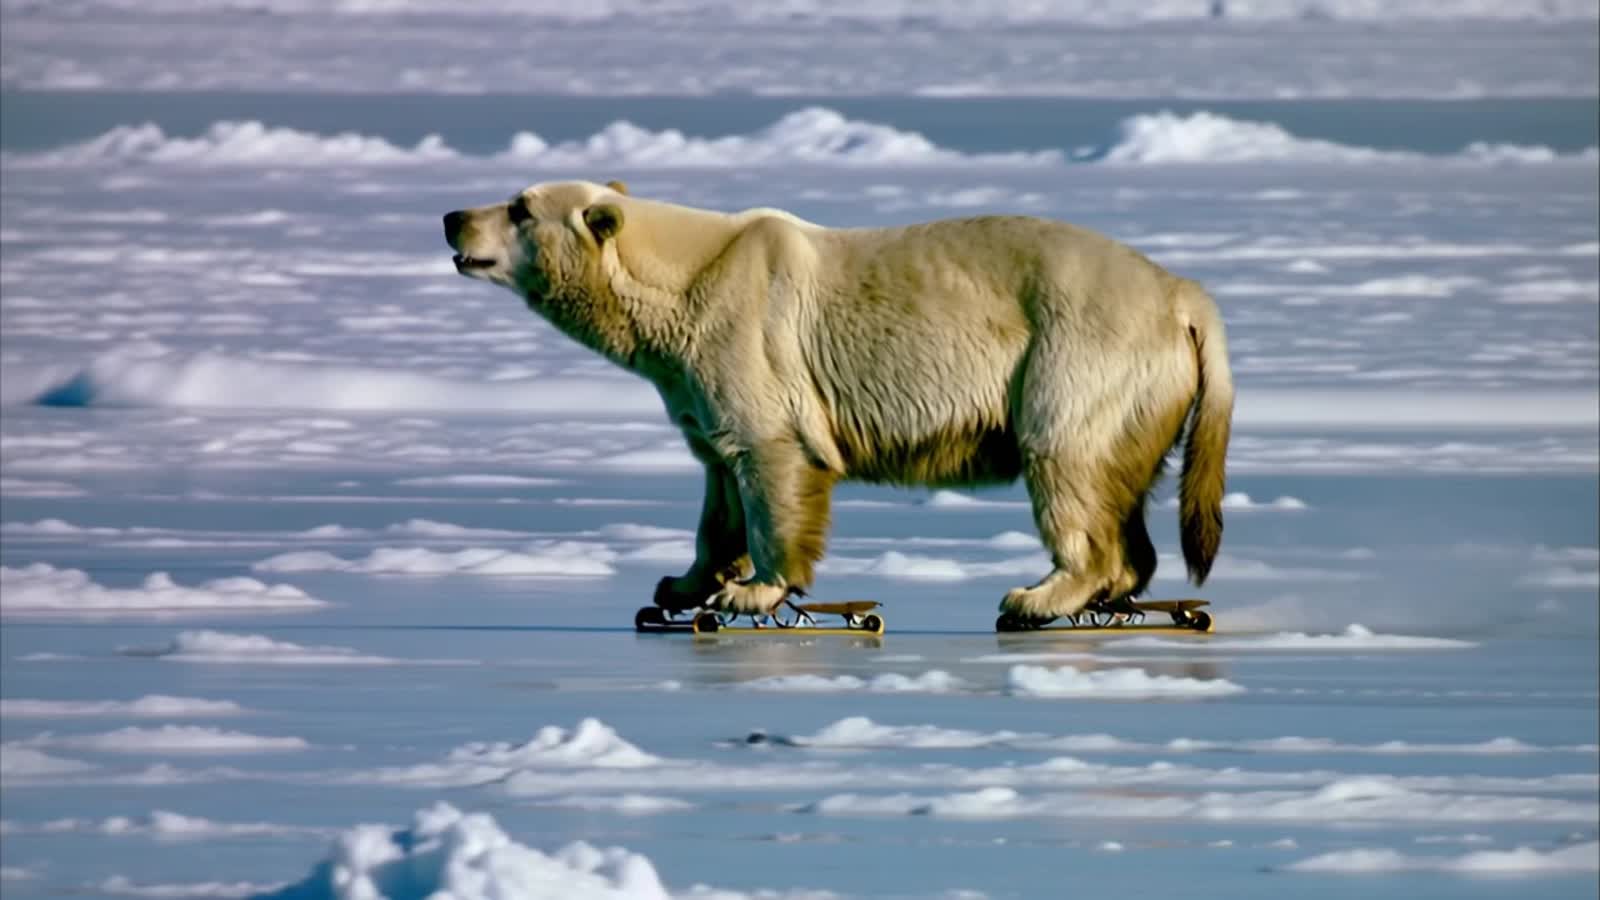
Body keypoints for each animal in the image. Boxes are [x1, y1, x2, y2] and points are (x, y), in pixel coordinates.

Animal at [443, 179, 1234, 626]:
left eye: (518, 209)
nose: (452, 217)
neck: (681, 279)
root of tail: (1185, 297)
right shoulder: (692, 379)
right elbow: (717, 484)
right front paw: (678, 585)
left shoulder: (745, 336)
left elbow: (770, 460)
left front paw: (753, 594)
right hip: (1142, 390)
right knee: (1119, 478)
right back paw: (1121, 590)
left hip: (1078, 349)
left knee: (1065, 457)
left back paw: (1041, 596)